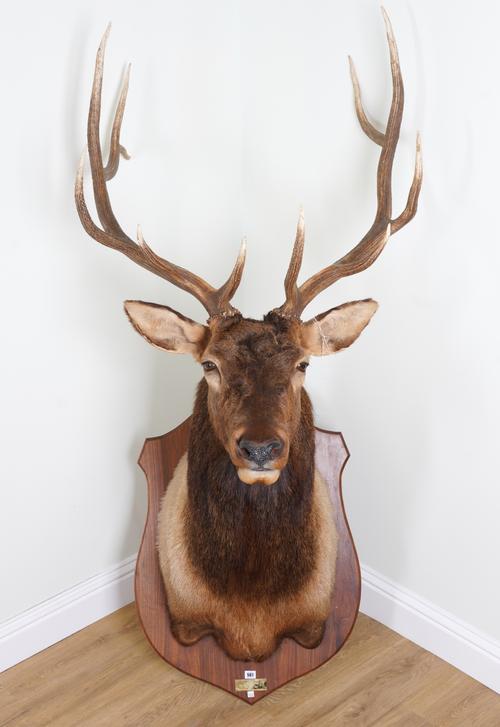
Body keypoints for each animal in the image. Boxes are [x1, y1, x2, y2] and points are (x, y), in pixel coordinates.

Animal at [75, 9, 421, 662]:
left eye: (304, 365)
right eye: (209, 365)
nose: (260, 449)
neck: (251, 620)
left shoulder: (315, 625)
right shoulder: (182, 622)